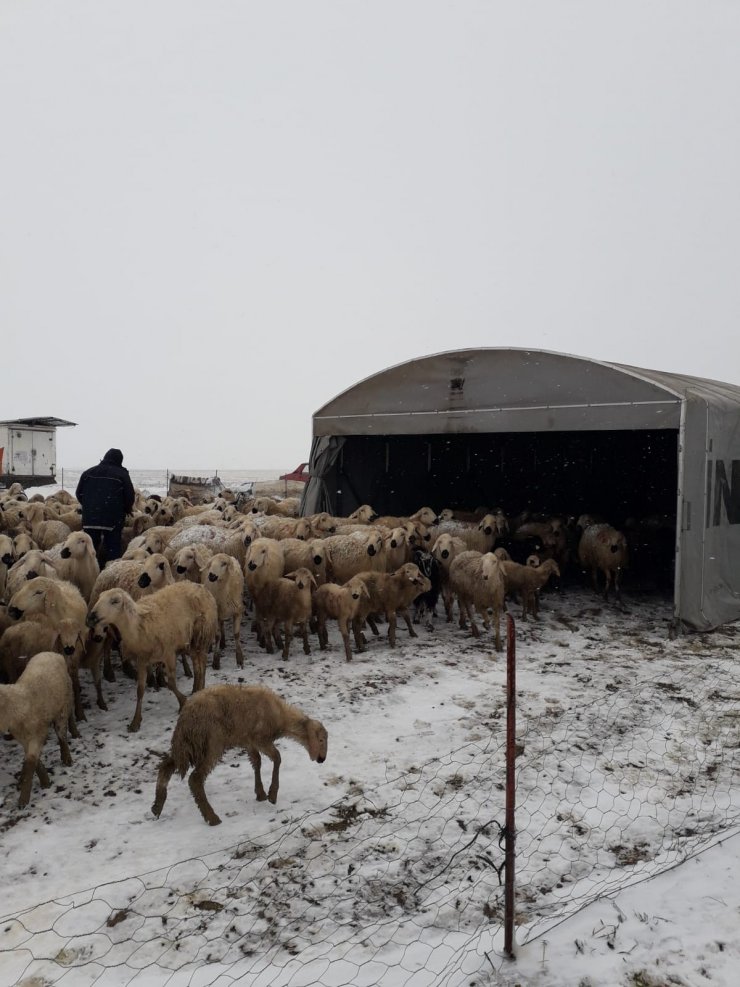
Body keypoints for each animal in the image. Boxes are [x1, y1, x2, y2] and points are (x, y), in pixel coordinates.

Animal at [151, 684, 326, 824]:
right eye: (321, 739)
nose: (322, 759)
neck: (281, 716)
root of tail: (186, 718)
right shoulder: (260, 739)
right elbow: (277, 758)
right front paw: (272, 794)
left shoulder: (249, 741)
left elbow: (257, 762)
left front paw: (260, 793)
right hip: (212, 744)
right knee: (195, 779)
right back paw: (212, 817)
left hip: (187, 747)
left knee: (166, 767)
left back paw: (157, 805)